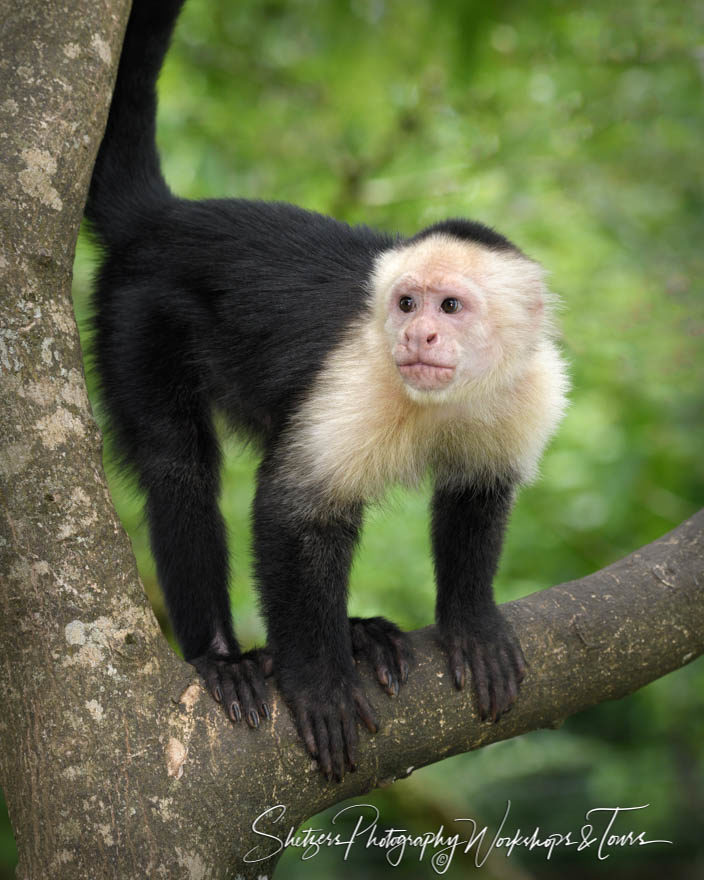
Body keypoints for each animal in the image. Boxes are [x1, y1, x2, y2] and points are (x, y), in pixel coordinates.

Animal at [86, 0, 568, 784]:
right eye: (406, 304)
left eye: (450, 307)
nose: (418, 337)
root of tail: (167, 218)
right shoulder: (357, 377)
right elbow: (296, 513)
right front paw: (315, 681)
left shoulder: (533, 388)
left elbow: (477, 491)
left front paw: (469, 623)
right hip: (137, 311)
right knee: (179, 465)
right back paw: (224, 659)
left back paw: (358, 633)